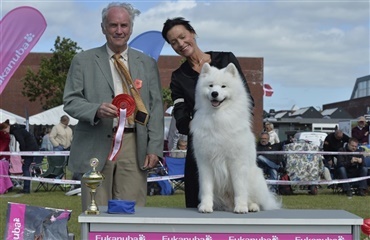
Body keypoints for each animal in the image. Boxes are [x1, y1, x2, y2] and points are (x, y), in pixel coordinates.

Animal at [191, 62, 280, 213]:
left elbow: (240, 189)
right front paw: (205, 206)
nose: (214, 93)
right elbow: (207, 188)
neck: (219, 117)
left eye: (223, 86)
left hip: (255, 178)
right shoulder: (205, 163)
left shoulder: (237, 163)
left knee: (255, 200)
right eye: (211, 86)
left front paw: (241, 207)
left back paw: (251, 207)